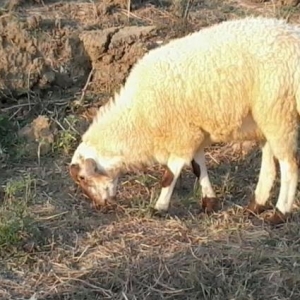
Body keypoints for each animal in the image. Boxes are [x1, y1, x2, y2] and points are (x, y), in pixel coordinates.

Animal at [69, 15, 300, 224]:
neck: (137, 117)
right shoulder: (192, 132)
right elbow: (198, 168)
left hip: (279, 113)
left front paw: (159, 208)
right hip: (266, 118)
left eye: (82, 177)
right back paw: (255, 206)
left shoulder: (182, 135)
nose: (100, 206)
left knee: (289, 166)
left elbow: (169, 175)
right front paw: (209, 202)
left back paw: (279, 214)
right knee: (270, 164)